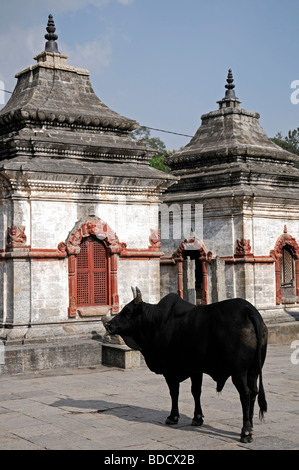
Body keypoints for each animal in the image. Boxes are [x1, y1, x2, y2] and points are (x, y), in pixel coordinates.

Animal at [104, 288, 268, 442]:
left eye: (127, 311)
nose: (109, 325)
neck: (156, 322)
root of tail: (247, 309)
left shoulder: (170, 369)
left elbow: (174, 392)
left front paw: (173, 417)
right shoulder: (196, 369)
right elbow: (196, 391)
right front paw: (197, 418)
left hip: (239, 372)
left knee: (245, 394)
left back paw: (245, 431)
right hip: (253, 370)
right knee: (254, 392)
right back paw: (251, 426)